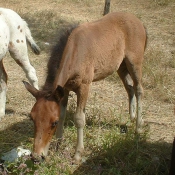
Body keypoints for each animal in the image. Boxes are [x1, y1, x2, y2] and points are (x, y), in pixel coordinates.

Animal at [22, 11, 146, 162]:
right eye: (32, 118)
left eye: (54, 123)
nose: (36, 156)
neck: (75, 51)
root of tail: (138, 21)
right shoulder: (64, 89)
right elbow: (63, 113)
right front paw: (58, 143)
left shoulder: (84, 87)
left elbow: (79, 118)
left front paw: (77, 154)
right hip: (121, 66)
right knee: (129, 88)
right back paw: (131, 118)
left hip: (135, 63)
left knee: (139, 89)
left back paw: (138, 127)